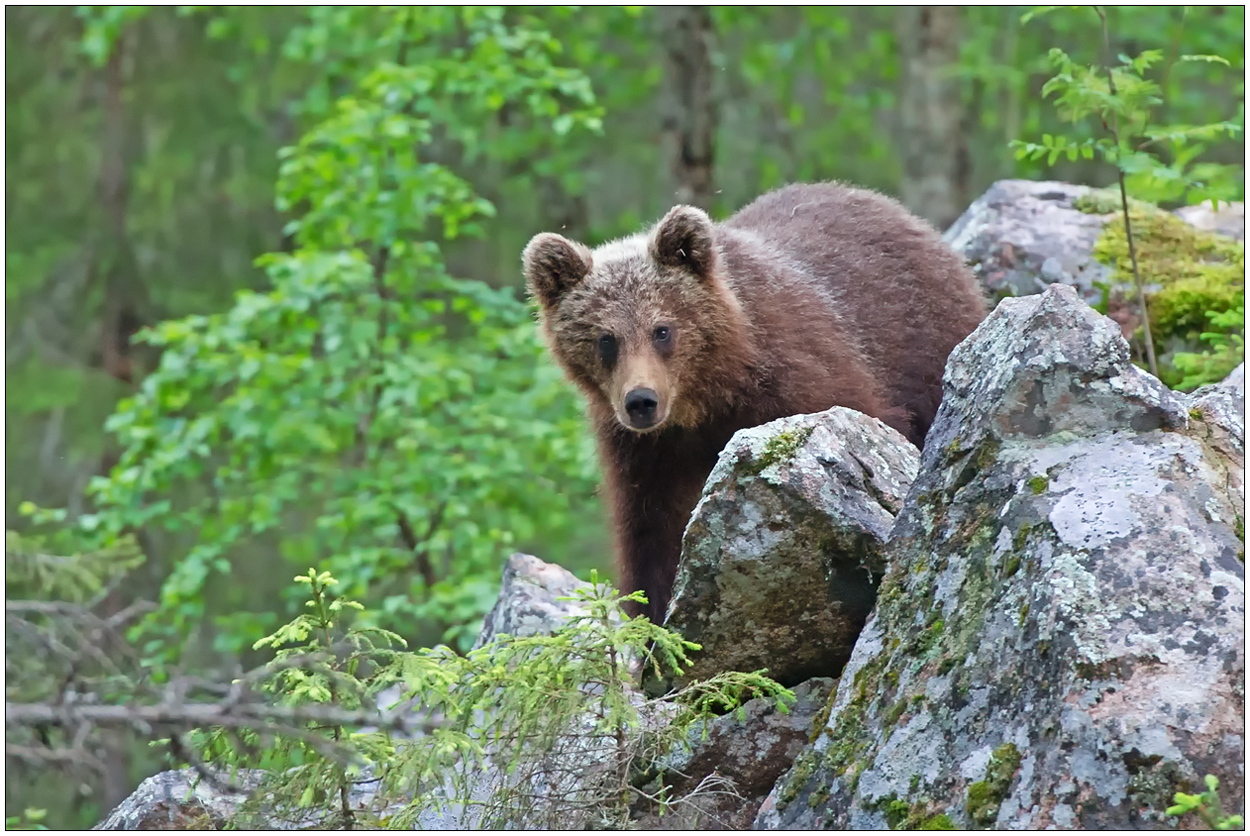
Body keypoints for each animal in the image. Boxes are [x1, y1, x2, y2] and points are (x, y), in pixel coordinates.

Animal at [520, 183, 985, 624]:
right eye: (606, 339)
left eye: (662, 329)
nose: (641, 402)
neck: (708, 400)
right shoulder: (645, 454)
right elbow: (652, 537)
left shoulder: (802, 380)